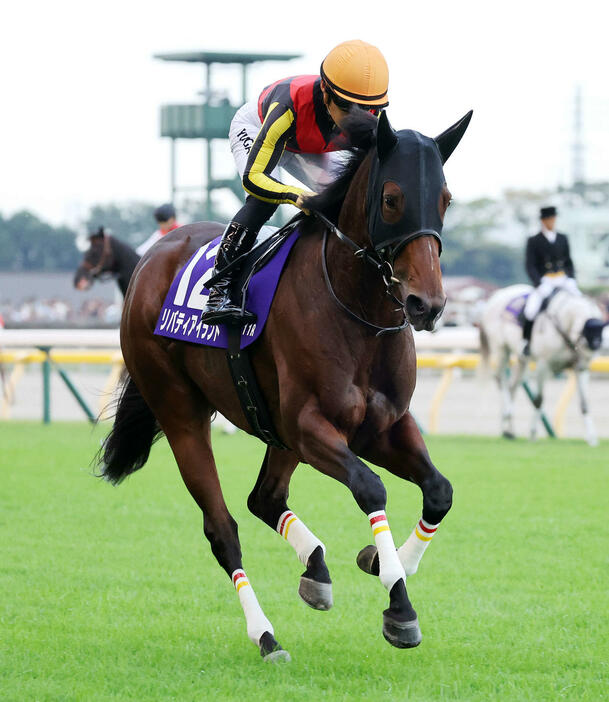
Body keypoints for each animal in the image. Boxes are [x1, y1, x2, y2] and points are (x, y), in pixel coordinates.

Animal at [97, 113, 472, 664]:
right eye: (391, 198)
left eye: (445, 199)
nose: (427, 304)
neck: (357, 312)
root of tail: (152, 257)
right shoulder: (310, 424)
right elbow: (370, 487)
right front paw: (399, 604)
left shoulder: (383, 427)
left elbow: (439, 491)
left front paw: (384, 563)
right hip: (183, 411)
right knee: (223, 528)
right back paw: (266, 635)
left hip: (274, 428)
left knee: (264, 499)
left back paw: (315, 568)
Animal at [480, 284, 604, 446]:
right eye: (586, 334)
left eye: (601, 335)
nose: (587, 359)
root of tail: (497, 296)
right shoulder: (543, 366)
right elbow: (539, 400)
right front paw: (533, 434)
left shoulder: (579, 369)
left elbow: (584, 403)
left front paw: (591, 438)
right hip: (501, 349)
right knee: (501, 380)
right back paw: (507, 413)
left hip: (521, 359)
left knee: (513, 386)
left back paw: (508, 430)